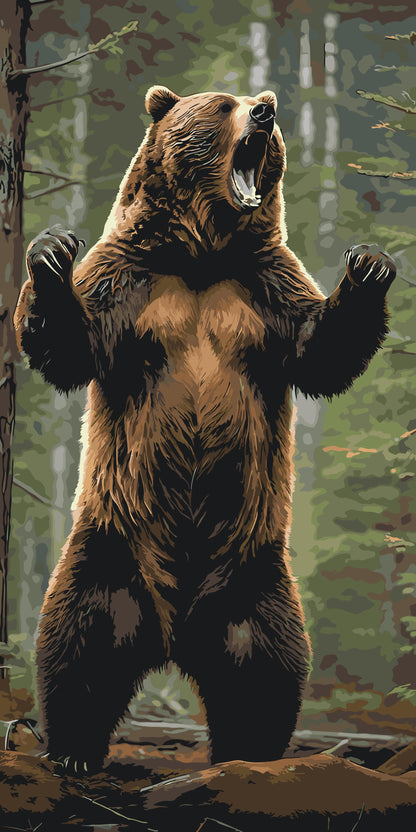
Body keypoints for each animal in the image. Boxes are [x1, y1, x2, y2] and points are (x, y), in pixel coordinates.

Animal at [14, 86, 396, 774]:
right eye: (222, 105)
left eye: (262, 100)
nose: (265, 111)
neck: (201, 253)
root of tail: (174, 633)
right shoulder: (131, 280)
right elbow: (71, 345)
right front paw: (51, 251)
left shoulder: (265, 287)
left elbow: (321, 351)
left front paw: (370, 263)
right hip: (113, 540)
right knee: (80, 635)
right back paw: (73, 749)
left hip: (251, 569)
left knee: (265, 665)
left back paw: (251, 755)